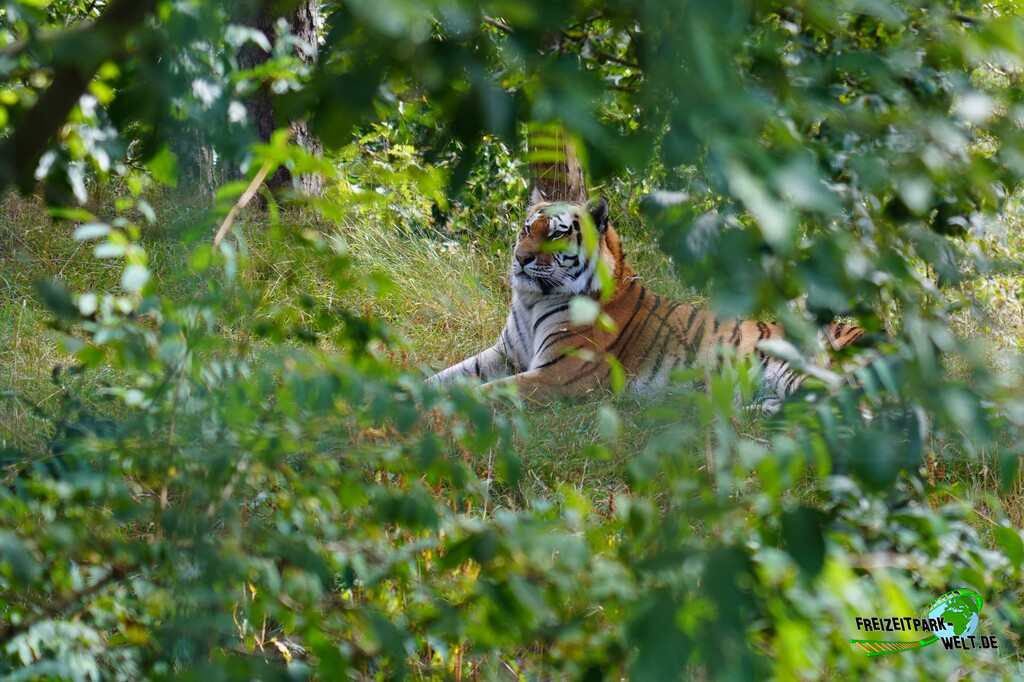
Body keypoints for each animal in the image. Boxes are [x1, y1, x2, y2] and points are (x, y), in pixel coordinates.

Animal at [429, 195, 868, 411]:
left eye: (555, 234)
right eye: (525, 229)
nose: (520, 259)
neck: (532, 301)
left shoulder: (559, 373)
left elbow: (486, 391)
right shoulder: (503, 354)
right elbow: (446, 376)